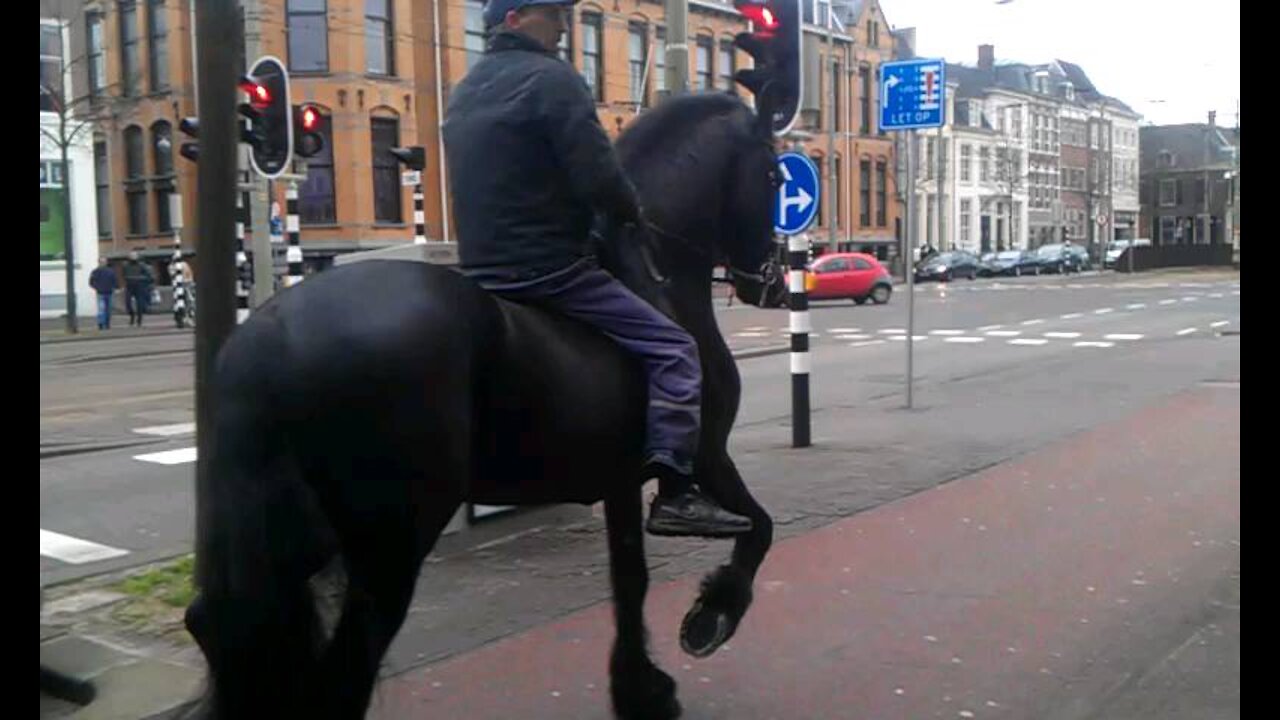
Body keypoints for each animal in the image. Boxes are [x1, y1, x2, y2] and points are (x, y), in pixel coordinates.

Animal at [180, 90, 778, 717]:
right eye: (774, 173)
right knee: (346, 667)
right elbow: (757, 527)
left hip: (298, 534)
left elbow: (630, 580)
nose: (770, 279)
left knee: (222, 624)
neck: (658, 273)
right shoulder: (706, 454)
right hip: (391, 545)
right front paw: (710, 617)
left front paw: (643, 690)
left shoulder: (619, 480)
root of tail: (268, 334)